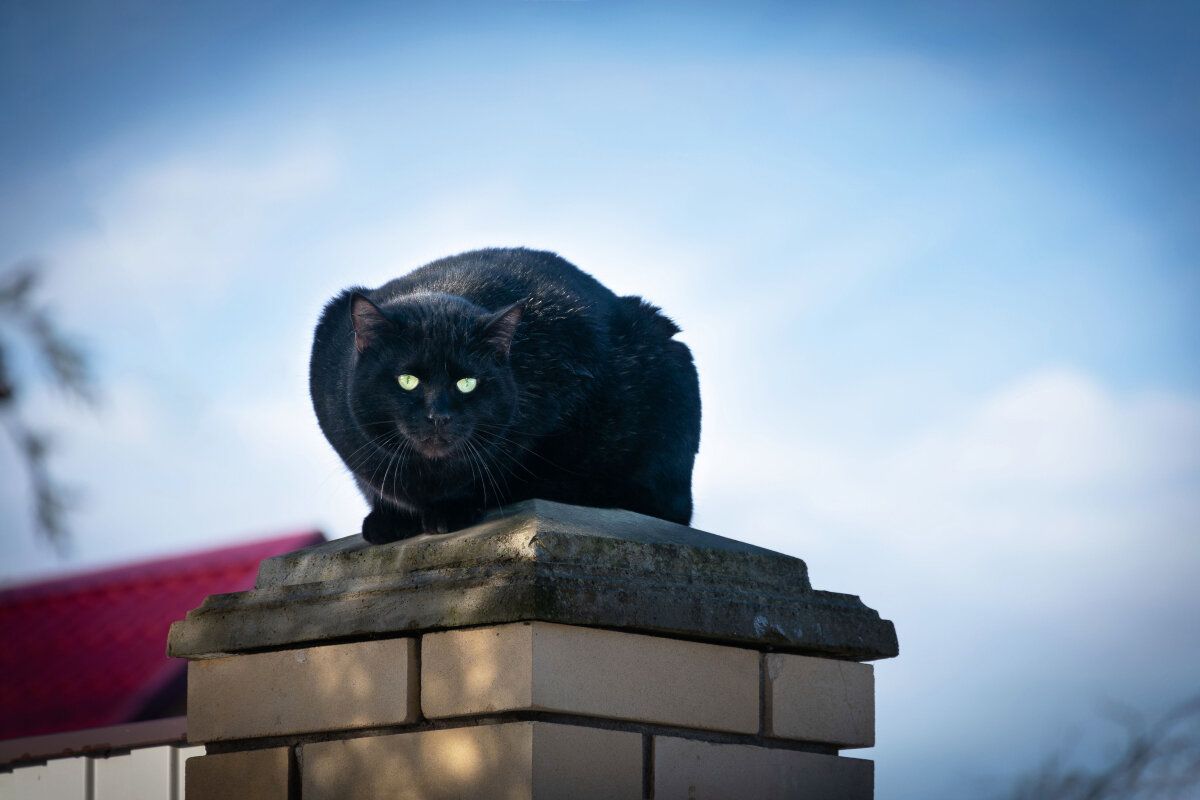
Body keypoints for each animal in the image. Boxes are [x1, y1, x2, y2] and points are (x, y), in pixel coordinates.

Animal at [307, 247, 700, 542]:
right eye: (408, 381)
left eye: (467, 383)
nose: (439, 415)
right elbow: (375, 482)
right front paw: (388, 518)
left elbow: (495, 466)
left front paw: (451, 509)